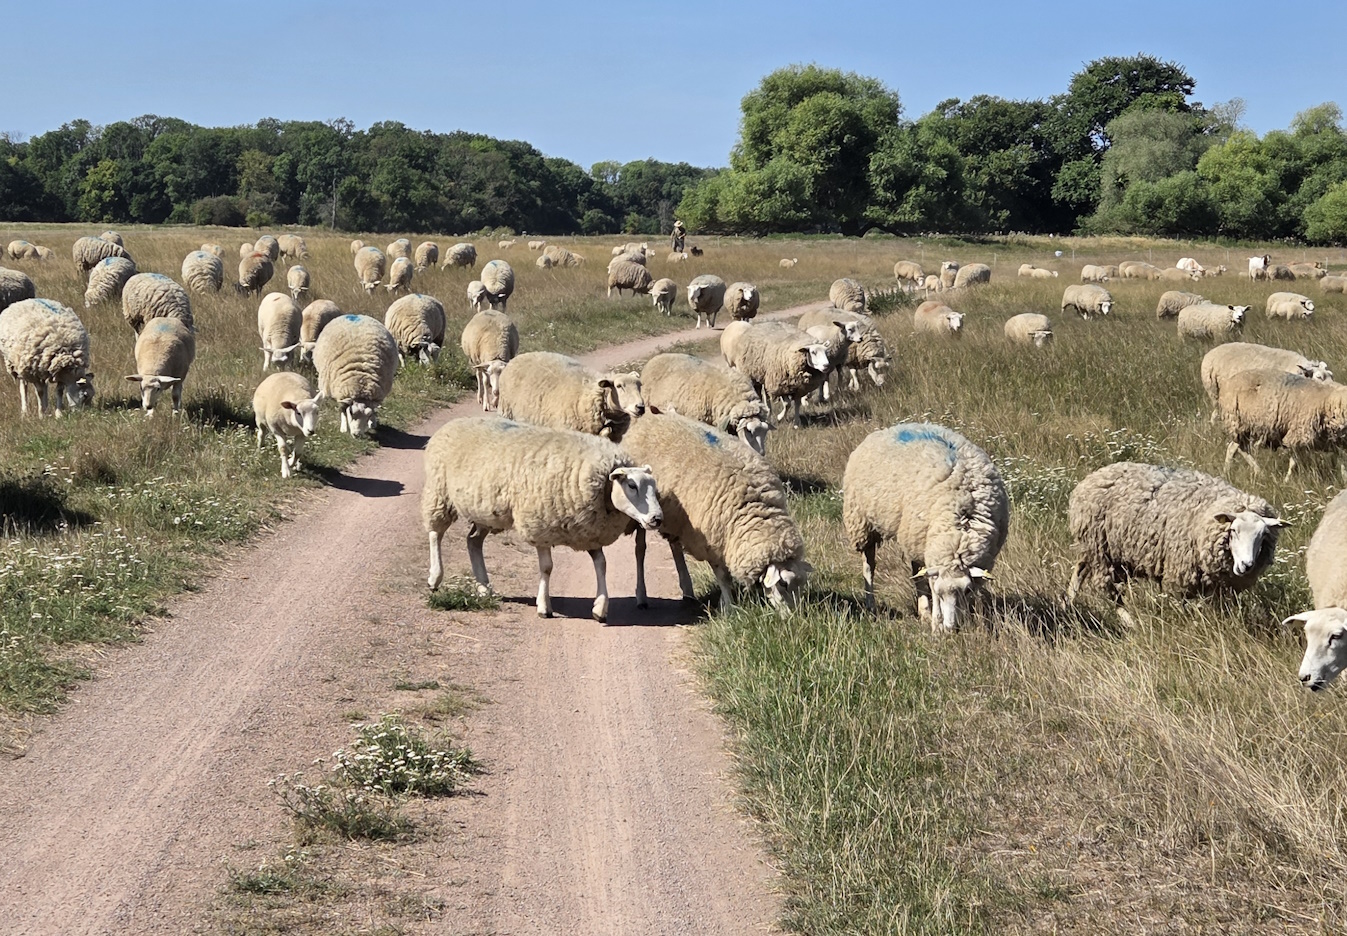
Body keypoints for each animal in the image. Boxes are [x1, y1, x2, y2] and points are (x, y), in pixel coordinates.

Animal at [421, 415, 663, 622]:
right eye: (631, 485)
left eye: (654, 486)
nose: (657, 518)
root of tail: (454, 422)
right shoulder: (540, 527)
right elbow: (547, 568)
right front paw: (544, 607)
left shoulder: (589, 532)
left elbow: (602, 565)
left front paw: (600, 608)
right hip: (439, 491)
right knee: (435, 534)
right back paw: (435, 577)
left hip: (485, 513)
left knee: (473, 541)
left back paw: (483, 587)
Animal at [621, 413, 810, 611]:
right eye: (783, 583)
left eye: (801, 584)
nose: (794, 615)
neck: (754, 508)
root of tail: (646, 418)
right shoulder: (711, 540)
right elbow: (723, 577)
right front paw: (728, 607)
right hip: (641, 512)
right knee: (640, 549)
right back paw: (642, 596)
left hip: (675, 518)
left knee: (675, 546)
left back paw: (687, 590)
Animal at [843, 422, 1009, 630]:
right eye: (940, 593)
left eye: (967, 591)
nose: (951, 629)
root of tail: (890, 428)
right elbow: (930, 584)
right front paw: (937, 625)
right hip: (864, 525)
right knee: (869, 566)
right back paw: (871, 604)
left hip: (916, 537)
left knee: (917, 573)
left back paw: (923, 611)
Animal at [1067, 461, 1283, 606]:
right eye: (1233, 531)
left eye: (1262, 536)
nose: (1247, 565)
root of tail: (1091, 478)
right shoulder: (1180, 577)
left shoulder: (1219, 588)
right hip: (1099, 548)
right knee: (1107, 589)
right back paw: (1130, 623)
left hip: (1100, 550)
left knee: (1079, 571)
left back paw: (1067, 603)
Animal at [1218, 369, 1347, 479]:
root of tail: (1227, 383)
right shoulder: (1298, 434)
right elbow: (1293, 462)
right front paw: (1287, 480)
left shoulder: (1335, 442)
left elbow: (1342, 462)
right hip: (1238, 421)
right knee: (1236, 448)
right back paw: (1249, 472)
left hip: (1244, 426)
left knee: (1237, 448)